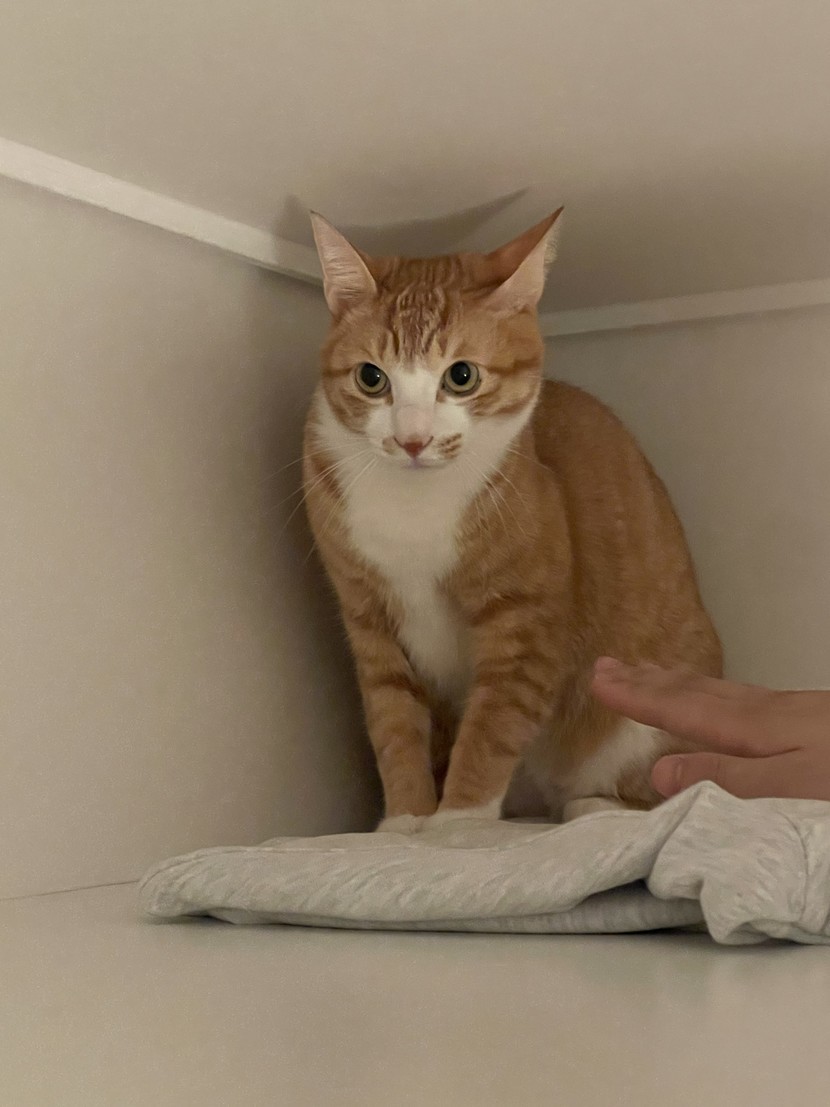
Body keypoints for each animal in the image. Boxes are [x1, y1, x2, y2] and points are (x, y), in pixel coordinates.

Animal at [303, 209, 722, 830]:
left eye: (461, 376)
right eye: (372, 378)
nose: (412, 439)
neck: (415, 507)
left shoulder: (526, 625)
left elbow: (492, 728)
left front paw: (455, 826)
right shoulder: (369, 620)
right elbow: (394, 724)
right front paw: (403, 824)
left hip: (646, 714)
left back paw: (595, 807)